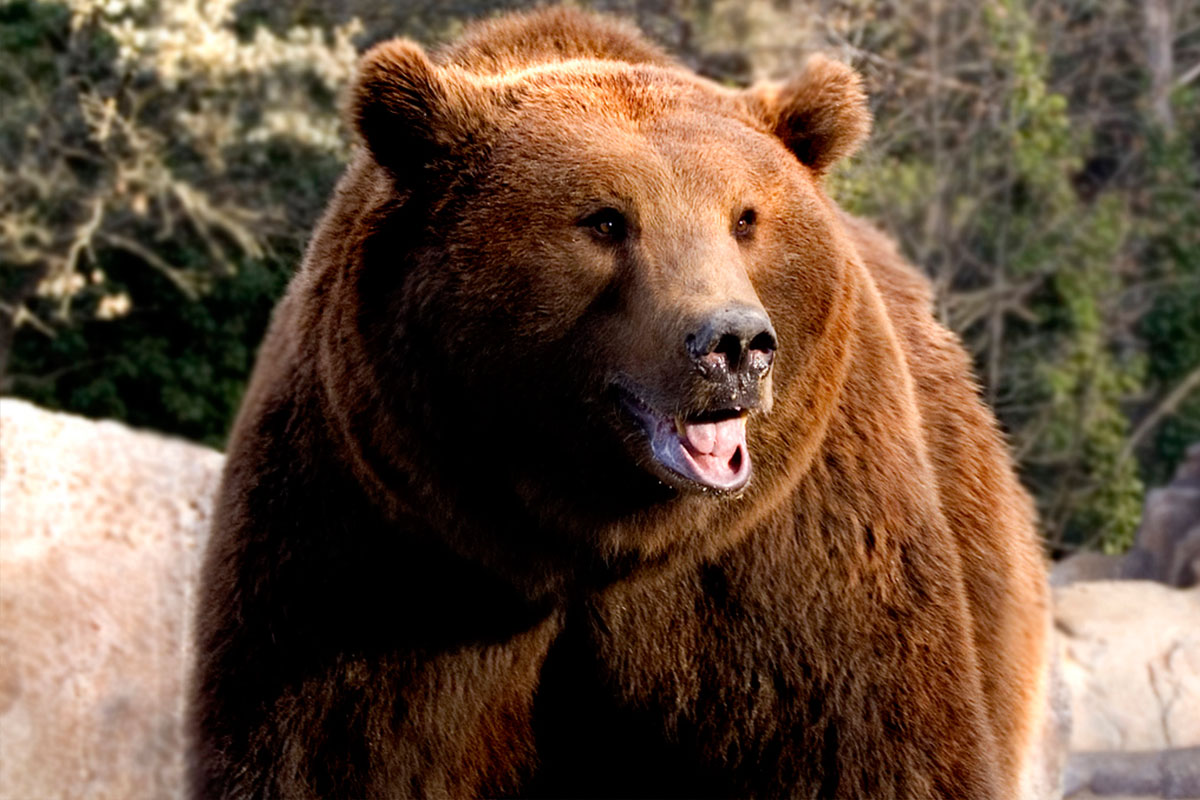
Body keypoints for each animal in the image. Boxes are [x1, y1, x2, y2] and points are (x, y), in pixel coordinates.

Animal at [189, 8, 1054, 799]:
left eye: (746, 217)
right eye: (605, 220)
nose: (735, 344)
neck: (593, 535)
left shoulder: (792, 559)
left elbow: (859, 745)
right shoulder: (374, 544)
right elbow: (330, 747)